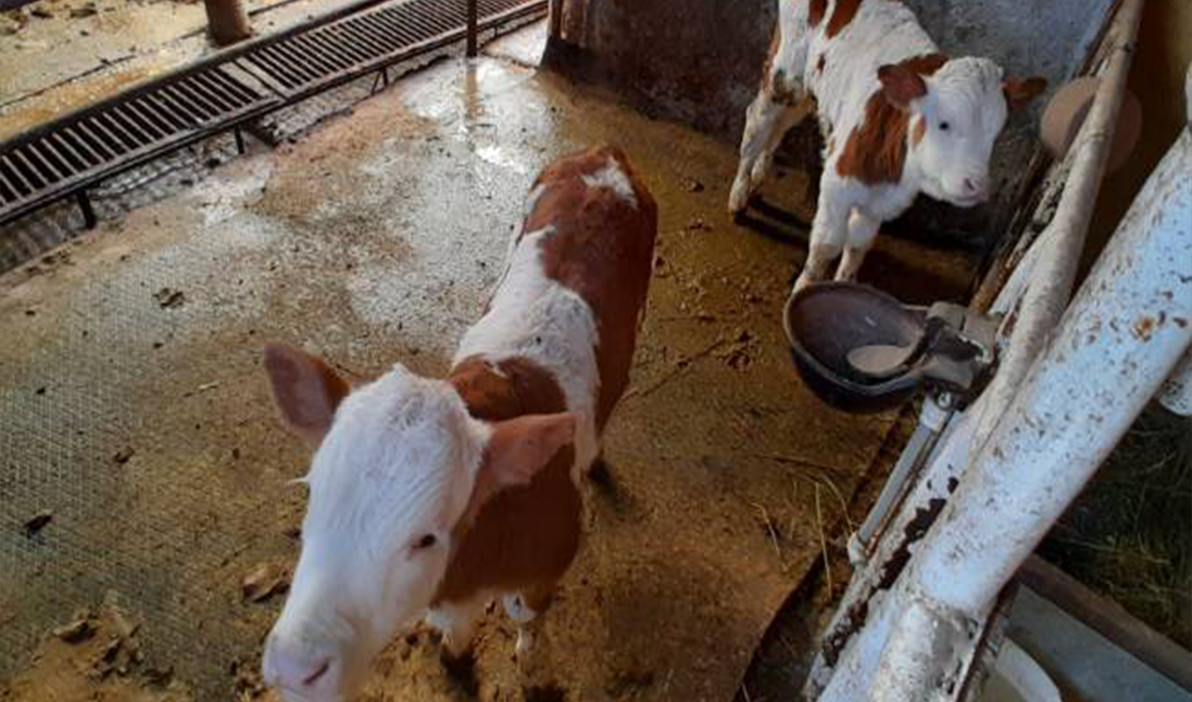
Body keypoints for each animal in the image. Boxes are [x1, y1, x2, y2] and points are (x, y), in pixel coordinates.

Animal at [260, 144, 657, 702]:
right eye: (314, 495)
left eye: (426, 538)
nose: (295, 669)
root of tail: (606, 152)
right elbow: (457, 628)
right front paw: (454, 651)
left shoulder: (554, 556)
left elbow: (526, 618)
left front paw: (531, 668)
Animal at [728, 0, 1047, 292]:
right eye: (944, 123)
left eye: (995, 133)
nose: (976, 185)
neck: (893, 170)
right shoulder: (837, 185)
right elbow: (827, 245)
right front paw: (803, 289)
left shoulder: (881, 203)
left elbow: (858, 247)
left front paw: (844, 286)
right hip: (783, 75)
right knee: (757, 126)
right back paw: (739, 197)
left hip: (806, 93)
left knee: (780, 128)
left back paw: (758, 179)